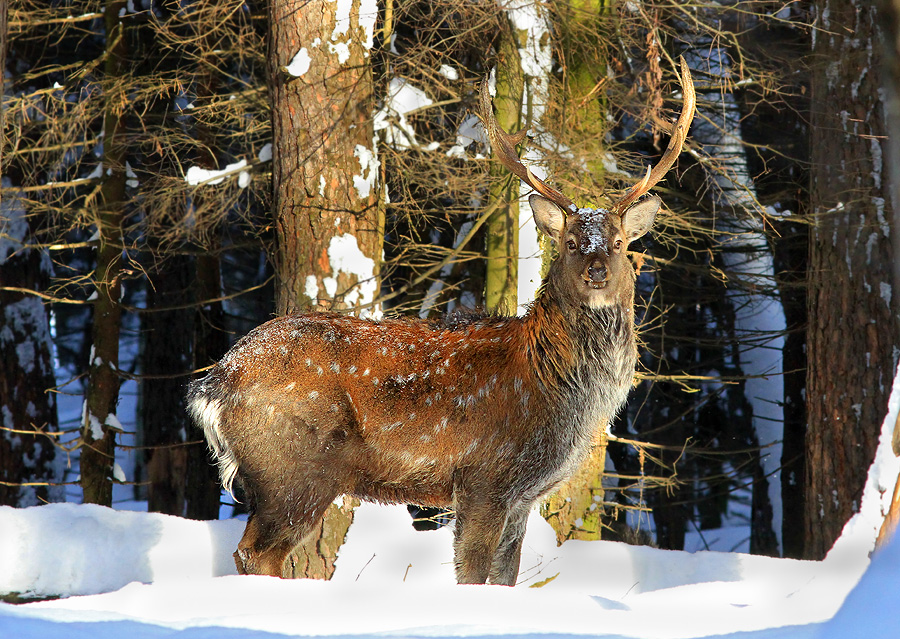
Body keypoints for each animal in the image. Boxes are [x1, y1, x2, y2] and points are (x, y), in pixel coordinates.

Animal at [188, 57, 696, 588]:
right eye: (572, 243)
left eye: (617, 243)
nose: (597, 270)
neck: (557, 389)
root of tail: (214, 384)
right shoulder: (483, 477)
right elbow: (471, 573)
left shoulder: (522, 497)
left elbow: (505, 577)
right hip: (293, 469)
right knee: (255, 553)